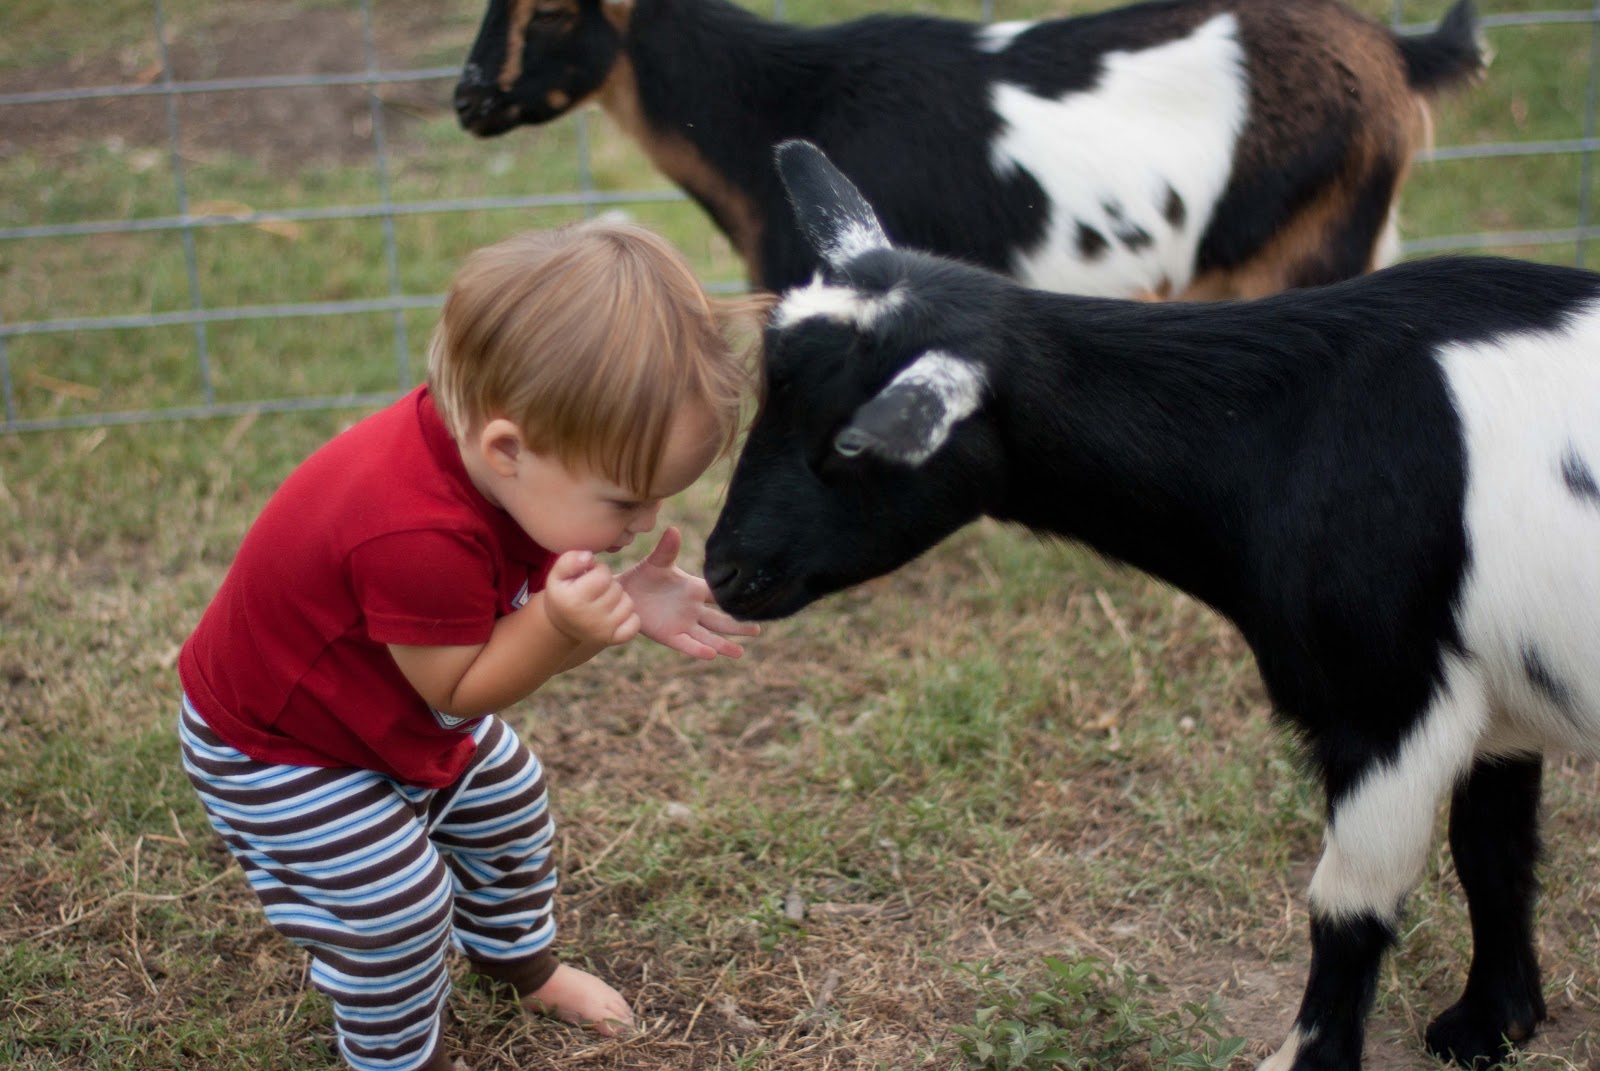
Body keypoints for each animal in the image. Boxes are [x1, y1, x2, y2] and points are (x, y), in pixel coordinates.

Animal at [702, 140, 1600, 1071]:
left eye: (850, 444)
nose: (724, 571)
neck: (1280, 429)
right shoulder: (1498, 697)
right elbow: (1493, 853)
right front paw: (1492, 1021)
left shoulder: (1387, 699)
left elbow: (1349, 905)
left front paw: (1307, 1057)